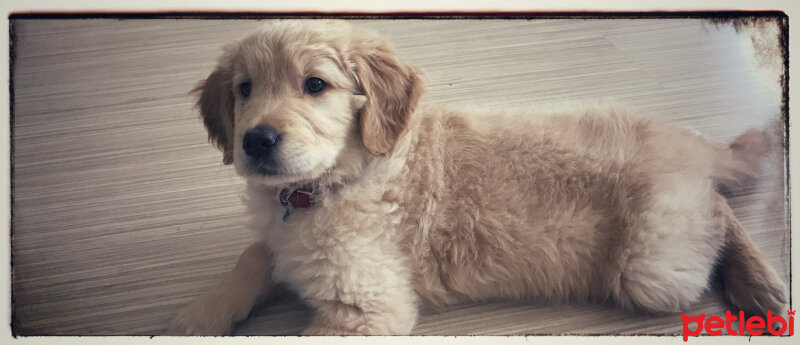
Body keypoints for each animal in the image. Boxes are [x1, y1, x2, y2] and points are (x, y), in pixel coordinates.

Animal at [166, 18, 784, 334]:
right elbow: (252, 257)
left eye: (315, 85)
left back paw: (757, 283)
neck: (320, 190)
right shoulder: (279, 237)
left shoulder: (366, 308)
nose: (256, 141)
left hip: (653, 265)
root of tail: (684, 142)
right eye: (244, 89)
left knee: (719, 210)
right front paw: (198, 316)